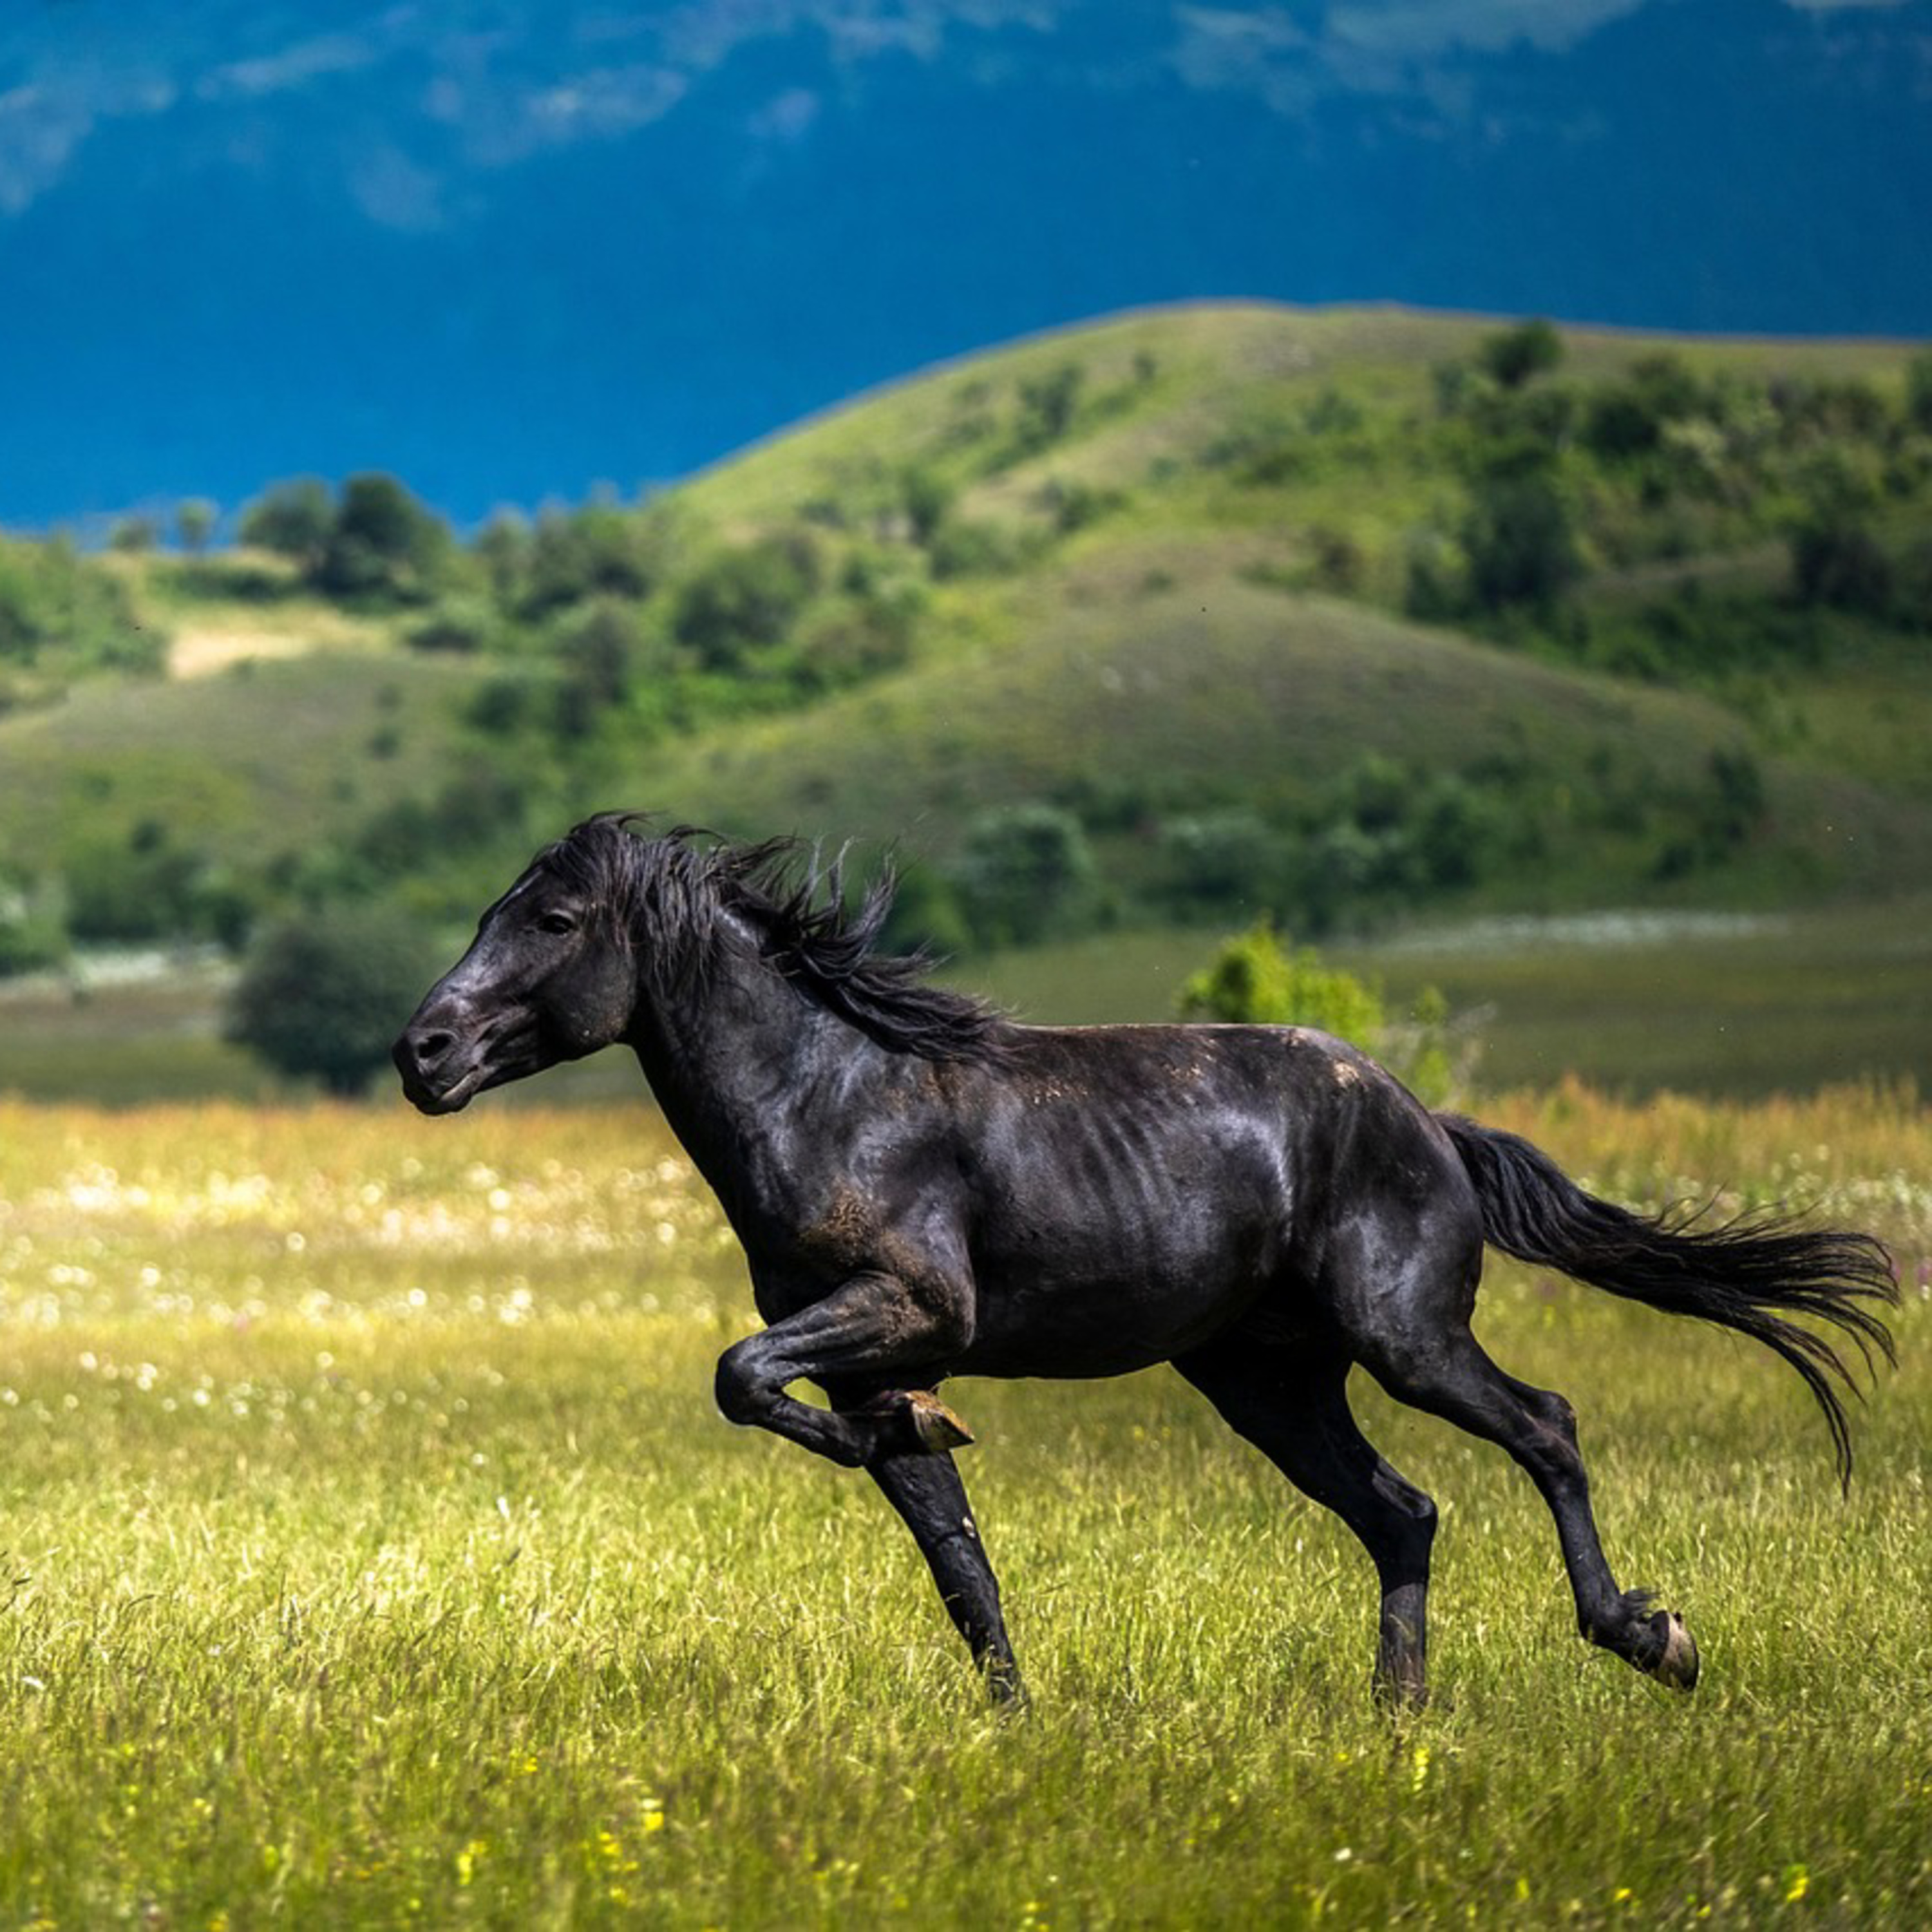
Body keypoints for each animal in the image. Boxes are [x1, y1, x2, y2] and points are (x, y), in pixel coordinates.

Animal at [393, 814, 1897, 1707]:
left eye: (554, 921)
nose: (423, 1053)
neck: (834, 1098)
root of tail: (1430, 1123)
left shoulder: (908, 1308)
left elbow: (738, 1374)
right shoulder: (873, 1356)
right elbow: (948, 1547)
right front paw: (1008, 1713)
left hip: (1407, 1338)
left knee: (1546, 1429)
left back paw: (1649, 1638)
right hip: (1268, 1382)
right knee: (1403, 1512)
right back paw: (1397, 1719)